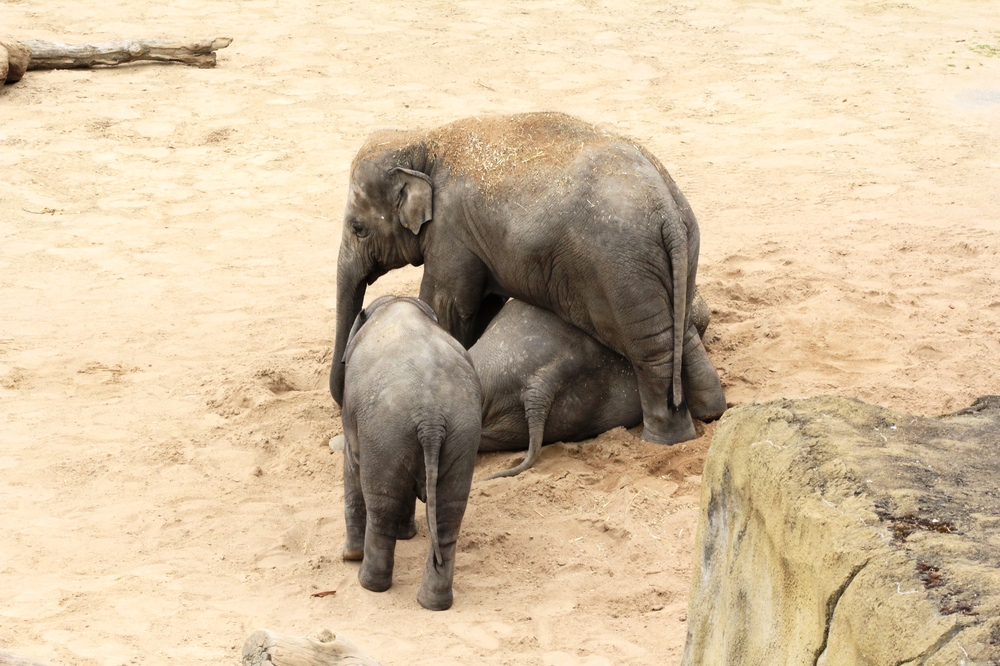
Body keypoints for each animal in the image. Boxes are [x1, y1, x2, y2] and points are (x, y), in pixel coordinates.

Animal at [330, 111, 728, 444]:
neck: (419, 139)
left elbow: (447, 305)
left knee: (650, 348)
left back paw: (662, 440)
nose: (339, 396)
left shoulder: (451, 232)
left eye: (358, 228)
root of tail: (666, 208)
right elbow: (482, 305)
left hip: (622, 272)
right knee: (677, 331)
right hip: (674, 257)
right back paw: (710, 412)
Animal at [338, 294, 482, 608]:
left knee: (382, 505)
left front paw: (349, 556)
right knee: (448, 516)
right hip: (461, 434)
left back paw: (368, 583)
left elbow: (351, 463)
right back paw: (434, 603)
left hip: (385, 430)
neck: (396, 303)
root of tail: (431, 418)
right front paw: (407, 536)